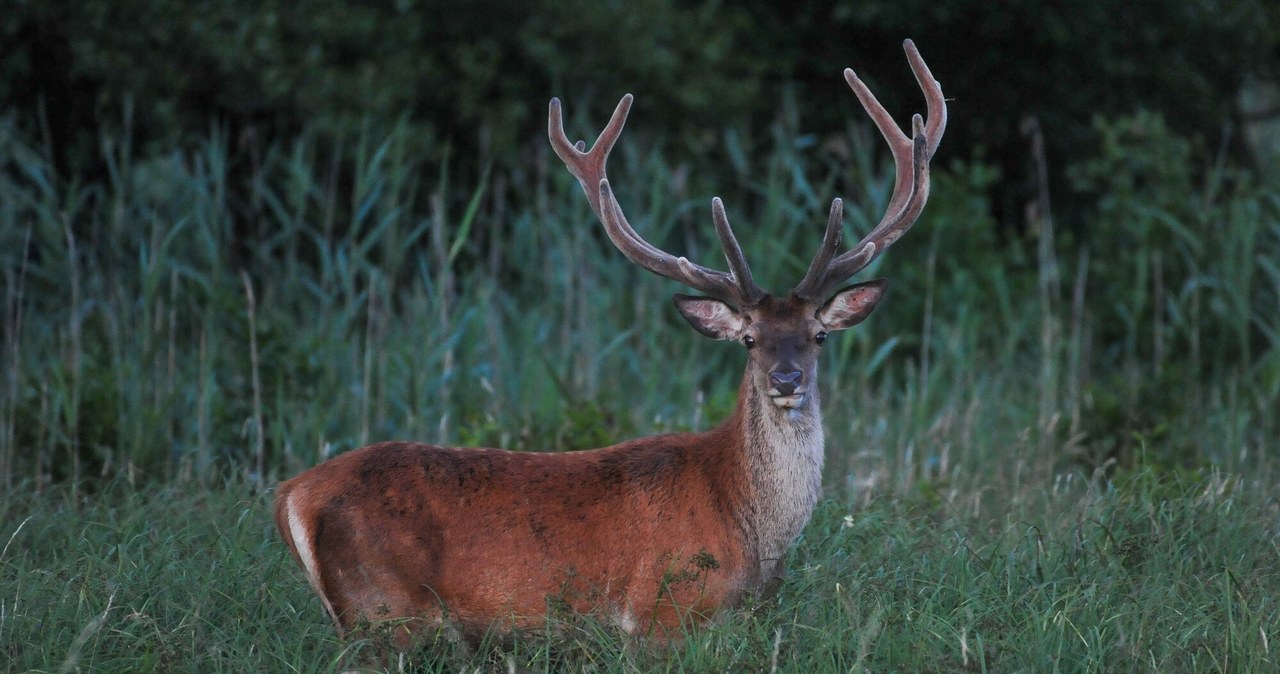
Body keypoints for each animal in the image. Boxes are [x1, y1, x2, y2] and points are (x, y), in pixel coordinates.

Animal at [275, 40, 947, 654]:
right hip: (389, 611)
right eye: (750, 339)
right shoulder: (662, 611)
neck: (748, 530)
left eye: (819, 335)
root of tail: (292, 495)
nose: (787, 379)